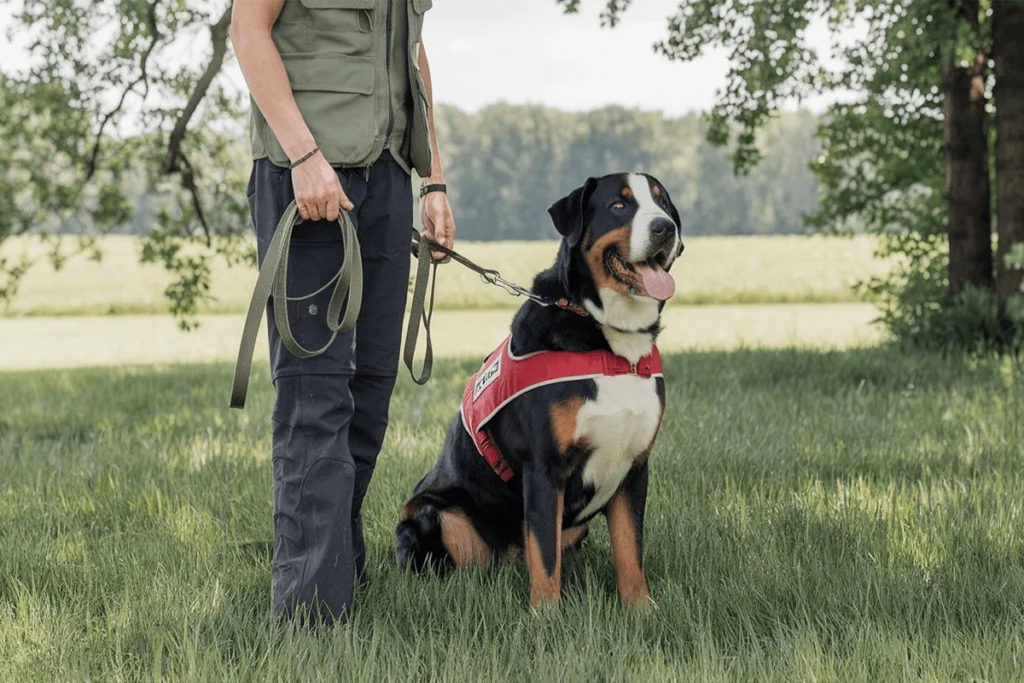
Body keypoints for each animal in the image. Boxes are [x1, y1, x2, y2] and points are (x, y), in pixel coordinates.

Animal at [395, 172, 684, 610]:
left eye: (662, 204)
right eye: (619, 205)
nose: (664, 228)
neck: (610, 346)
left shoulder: (634, 469)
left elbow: (630, 551)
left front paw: (640, 611)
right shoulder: (545, 469)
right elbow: (545, 559)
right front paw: (546, 616)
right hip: (432, 513)